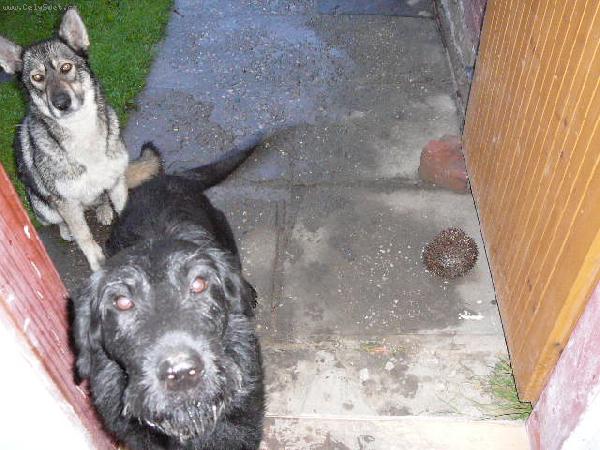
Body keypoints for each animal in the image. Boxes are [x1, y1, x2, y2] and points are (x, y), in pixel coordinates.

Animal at [0, 7, 159, 271]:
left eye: (66, 68)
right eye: (37, 78)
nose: (62, 103)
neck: (82, 133)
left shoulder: (116, 181)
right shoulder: (66, 203)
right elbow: (84, 235)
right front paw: (97, 261)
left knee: (101, 201)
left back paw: (103, 210)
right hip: (43, 206)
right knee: (62, 222)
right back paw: (67, 230)